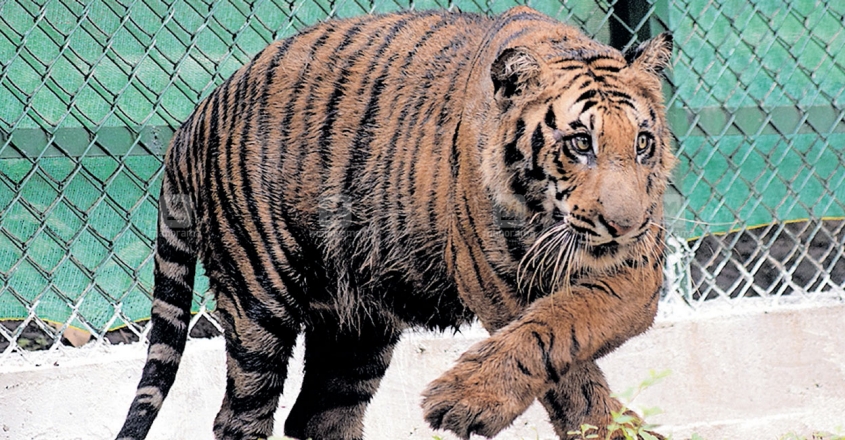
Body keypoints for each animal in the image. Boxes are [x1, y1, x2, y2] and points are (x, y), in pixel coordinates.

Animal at [115, 5, 675, 440]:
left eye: (643, 143)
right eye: (581, 143)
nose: (625, 226)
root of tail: (195, 116)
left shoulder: (639, 270)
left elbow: (566, 322)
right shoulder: (496, 282)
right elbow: (551, 343)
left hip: (358, 327)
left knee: (320, 416)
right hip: (258, 300)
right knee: (241, 417)